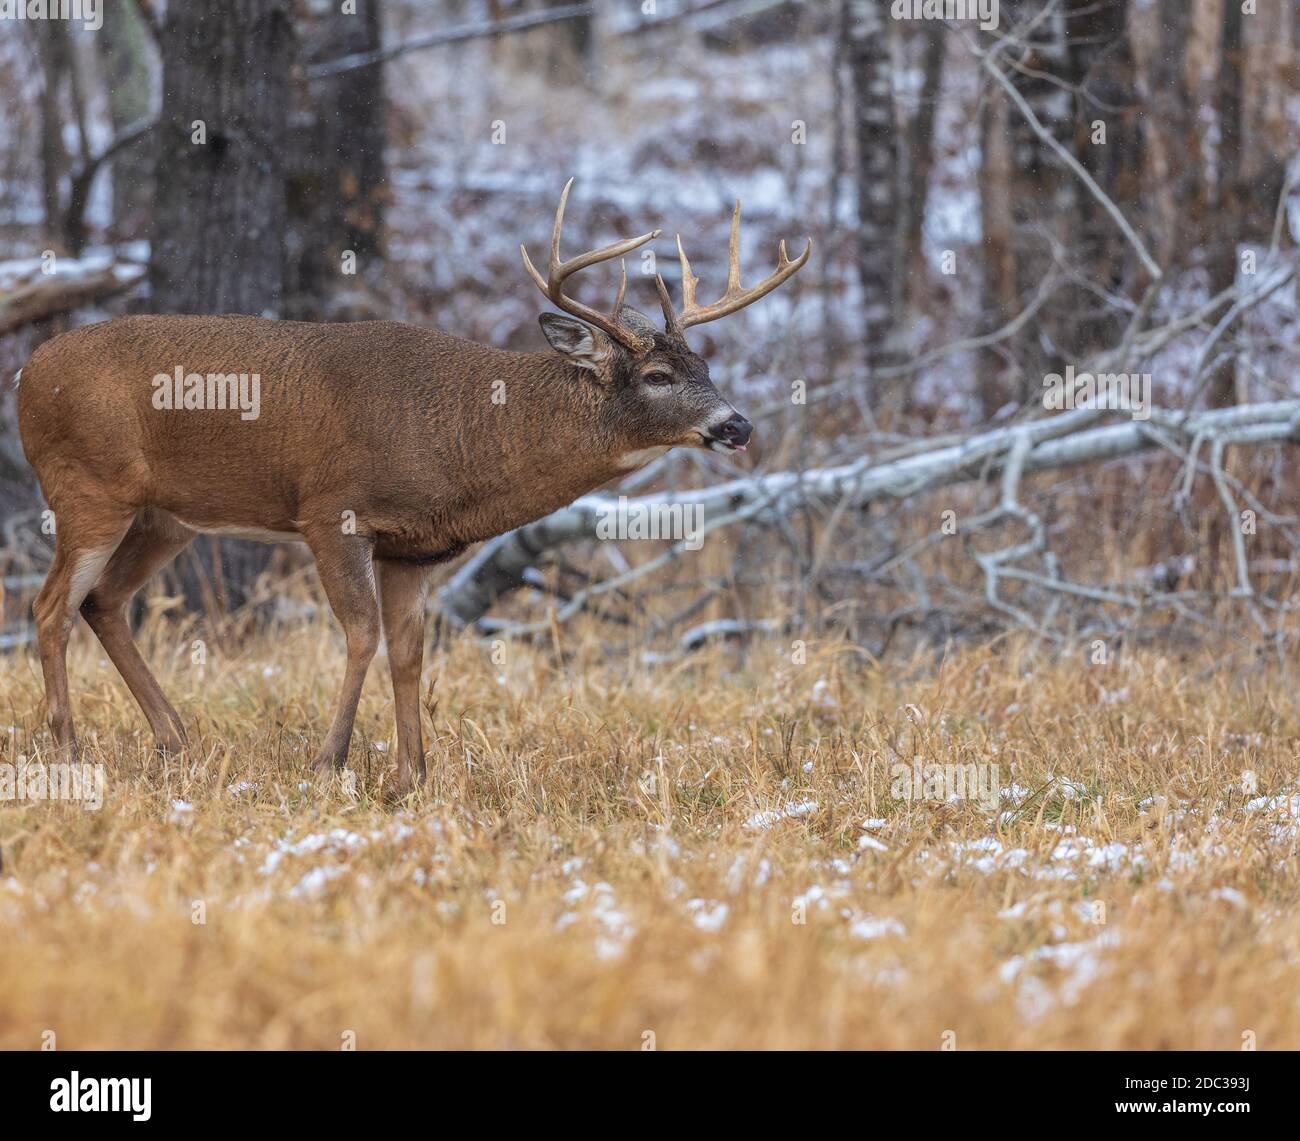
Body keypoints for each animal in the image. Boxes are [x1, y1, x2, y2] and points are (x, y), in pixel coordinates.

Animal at [17, 179, 811, 790]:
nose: (738, 424)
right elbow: (362, 633)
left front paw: (414, 775)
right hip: (86, 488)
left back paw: (174, 738)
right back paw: (69, 752)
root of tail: (25, 373)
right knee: (51, 605)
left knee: (104, 601)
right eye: (658, 375)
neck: (463, 433)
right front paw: (328, 763)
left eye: (705, 363)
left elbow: (408, 650)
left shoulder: (414, 547)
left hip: (167, 516)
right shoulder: (329, 510)